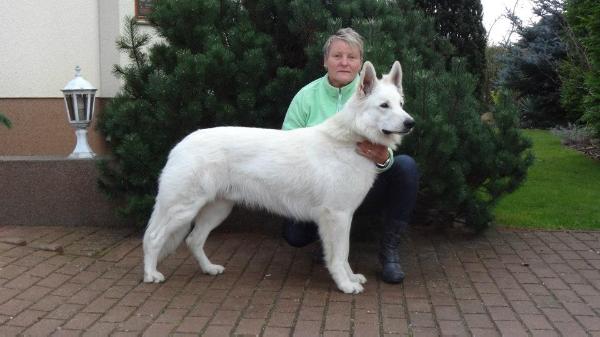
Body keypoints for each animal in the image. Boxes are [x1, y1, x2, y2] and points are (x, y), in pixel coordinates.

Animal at [143, 61, 414, 292]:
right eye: (384, 105)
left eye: (400, 104)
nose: (410, 122)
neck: (351, 139)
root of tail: (180, 145)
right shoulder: (337, 216)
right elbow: (340, 254)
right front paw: (345, 285)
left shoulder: (343, 217)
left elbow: (343, 254)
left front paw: (350, 277)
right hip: (184, 208)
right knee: (154, 238)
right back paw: (151, 275)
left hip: (217, 209)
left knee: (194, 240)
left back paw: (209, 269)